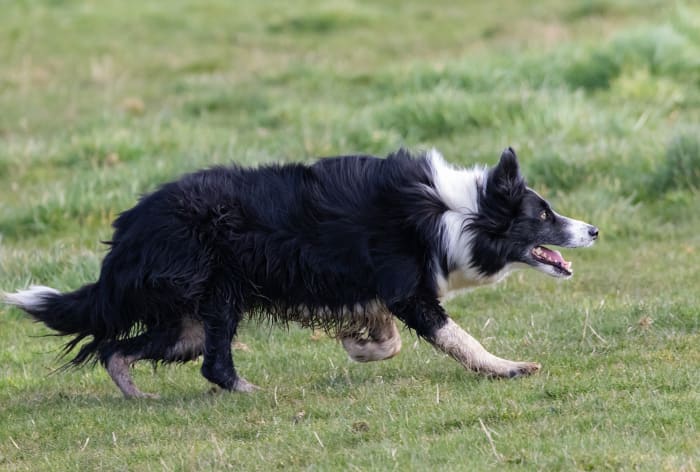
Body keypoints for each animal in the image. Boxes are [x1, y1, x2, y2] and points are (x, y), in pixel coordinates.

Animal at [4, 148, 596, 398]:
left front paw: (360, 345)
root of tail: (128, 231)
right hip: (219, 294)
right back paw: (247, 390)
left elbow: (386, 338)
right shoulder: (408, 291)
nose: (592, 230)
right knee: (211, 364)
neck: (457, 213)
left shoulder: (375, 287)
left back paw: (136, 393)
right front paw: (507, 368)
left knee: (117, 349)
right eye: (544, 215)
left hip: (185, 320)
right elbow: (458, 338)